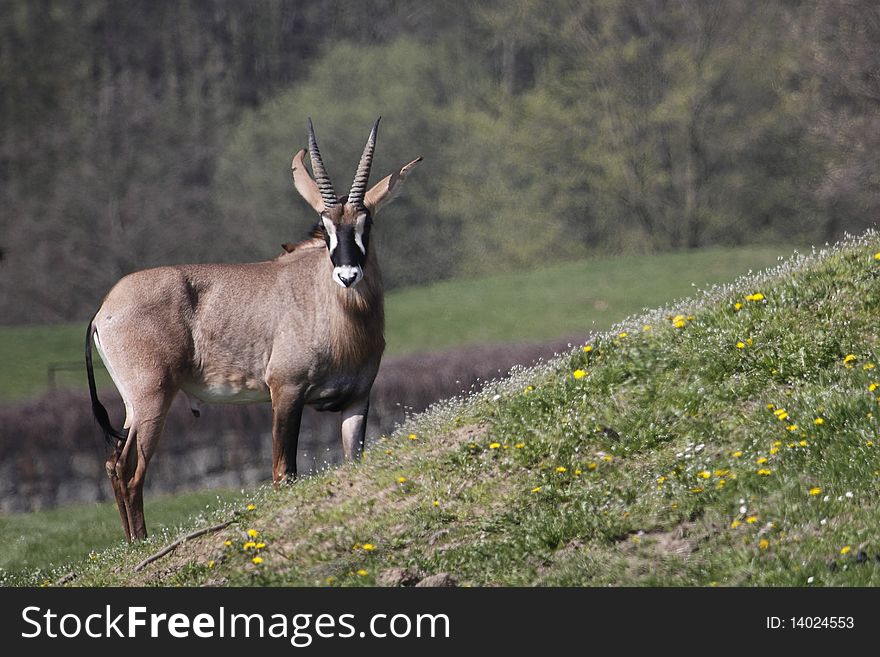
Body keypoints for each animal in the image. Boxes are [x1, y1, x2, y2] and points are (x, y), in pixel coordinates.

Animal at [84, 118, 422, 540]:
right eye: (325, 226)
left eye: (367, 223)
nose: (347, 275)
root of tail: (103, 312)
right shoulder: (286, 392)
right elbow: (283, 472)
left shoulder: (356, 400)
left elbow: (353, 460)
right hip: (151, 399)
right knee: (130, 470)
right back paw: (142, 543)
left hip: (135, 406)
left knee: (114, 463)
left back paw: (133, 544)